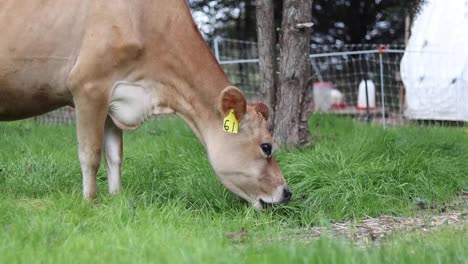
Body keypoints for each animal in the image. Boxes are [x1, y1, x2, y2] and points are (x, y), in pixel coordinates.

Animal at [0, 1, 290, 209]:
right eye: (267, 146)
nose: (286, 192)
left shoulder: (115, 101)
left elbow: (114, 155)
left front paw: (116, 198)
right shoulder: (88, 86)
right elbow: (91, 154)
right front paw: (89, 202)